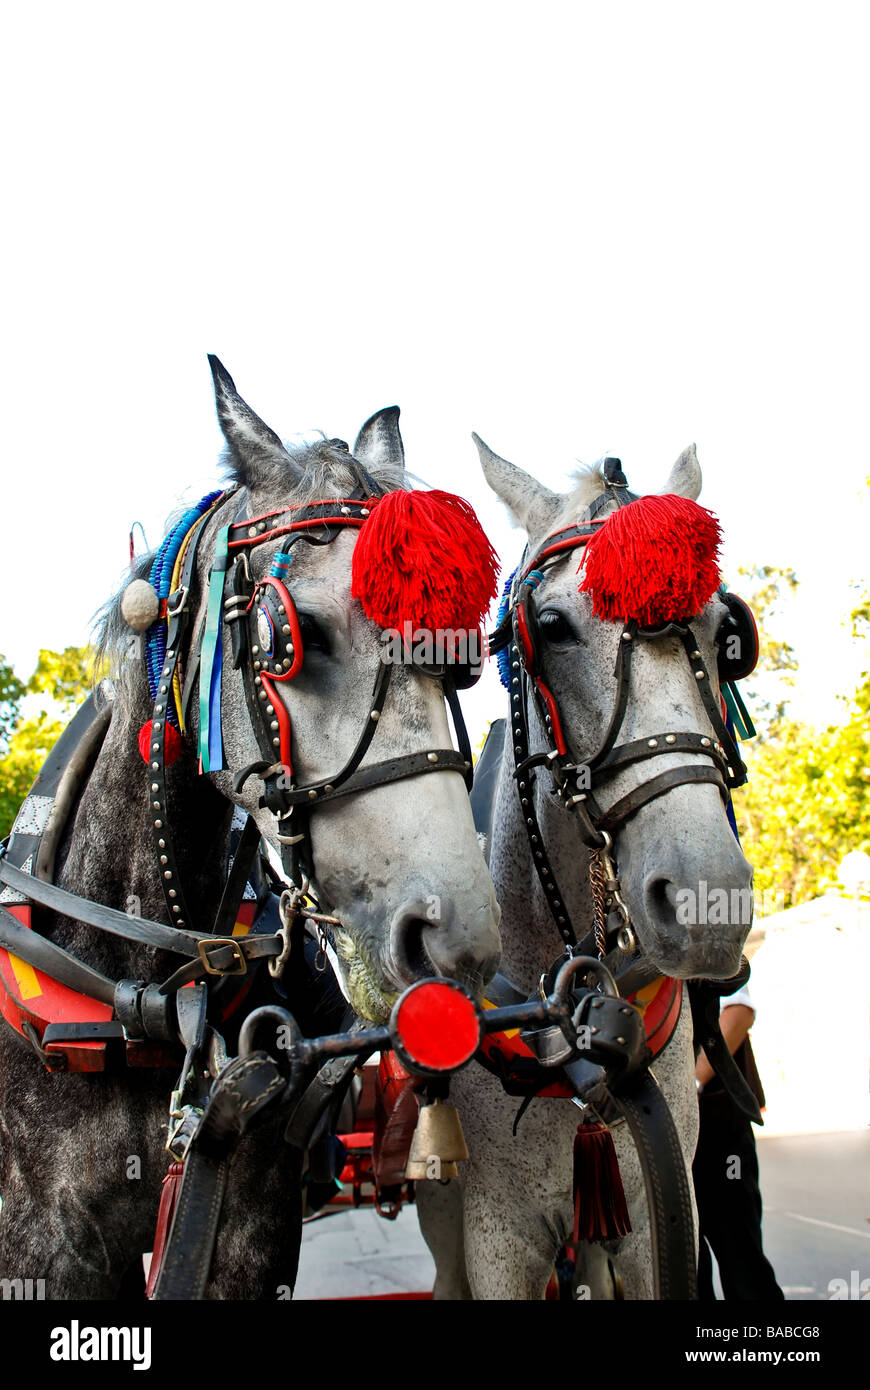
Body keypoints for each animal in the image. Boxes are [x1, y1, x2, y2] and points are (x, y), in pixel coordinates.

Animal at [0, 359, 501, 1300]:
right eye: (287, 634)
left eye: (462, 656)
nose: (454, 938)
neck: (152, 995)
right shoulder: (41, 1241)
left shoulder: (246, 1212)